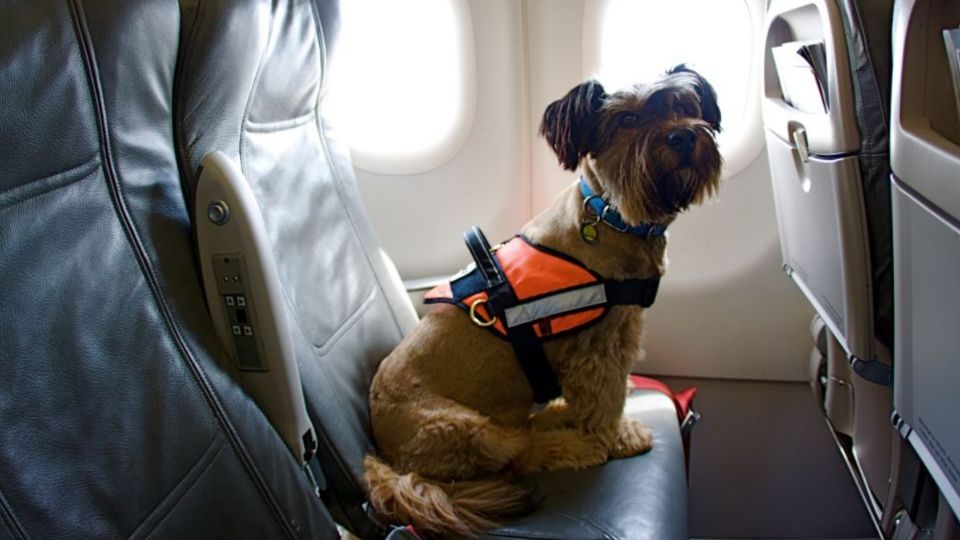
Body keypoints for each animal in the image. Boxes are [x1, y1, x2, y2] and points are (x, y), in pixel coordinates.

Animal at [362, 65, 720, 536]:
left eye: (684, 105)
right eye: (627, 119)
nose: (682, 137)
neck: (609, 214)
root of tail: (387, 457)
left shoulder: (618, 332)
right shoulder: (598, 349)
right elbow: (604, 404)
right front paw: (617, 437)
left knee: (526, 431)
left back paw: (556, 414)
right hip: (467, 429)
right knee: (519, 455)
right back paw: (574, 445)